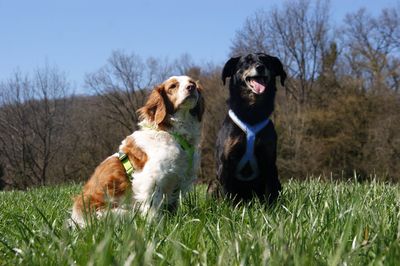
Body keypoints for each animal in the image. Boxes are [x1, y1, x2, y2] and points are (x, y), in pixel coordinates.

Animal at [69, 75, 205, 227]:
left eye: (192, 83)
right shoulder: (151, 180)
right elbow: (153, 211)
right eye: (173, 86)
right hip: (119, 213)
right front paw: (156, 227)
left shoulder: (178, 182)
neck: (173, 133)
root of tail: (76, 220)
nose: (191, 87)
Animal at [216, 52, 288, 204]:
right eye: (246, 61)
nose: (260, 67)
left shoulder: (269, 162)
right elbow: (226, 193)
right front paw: (227, 208)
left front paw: (269, 208)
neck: (252, 113)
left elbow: (269, 192)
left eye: (266, 61)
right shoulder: (225, 163)